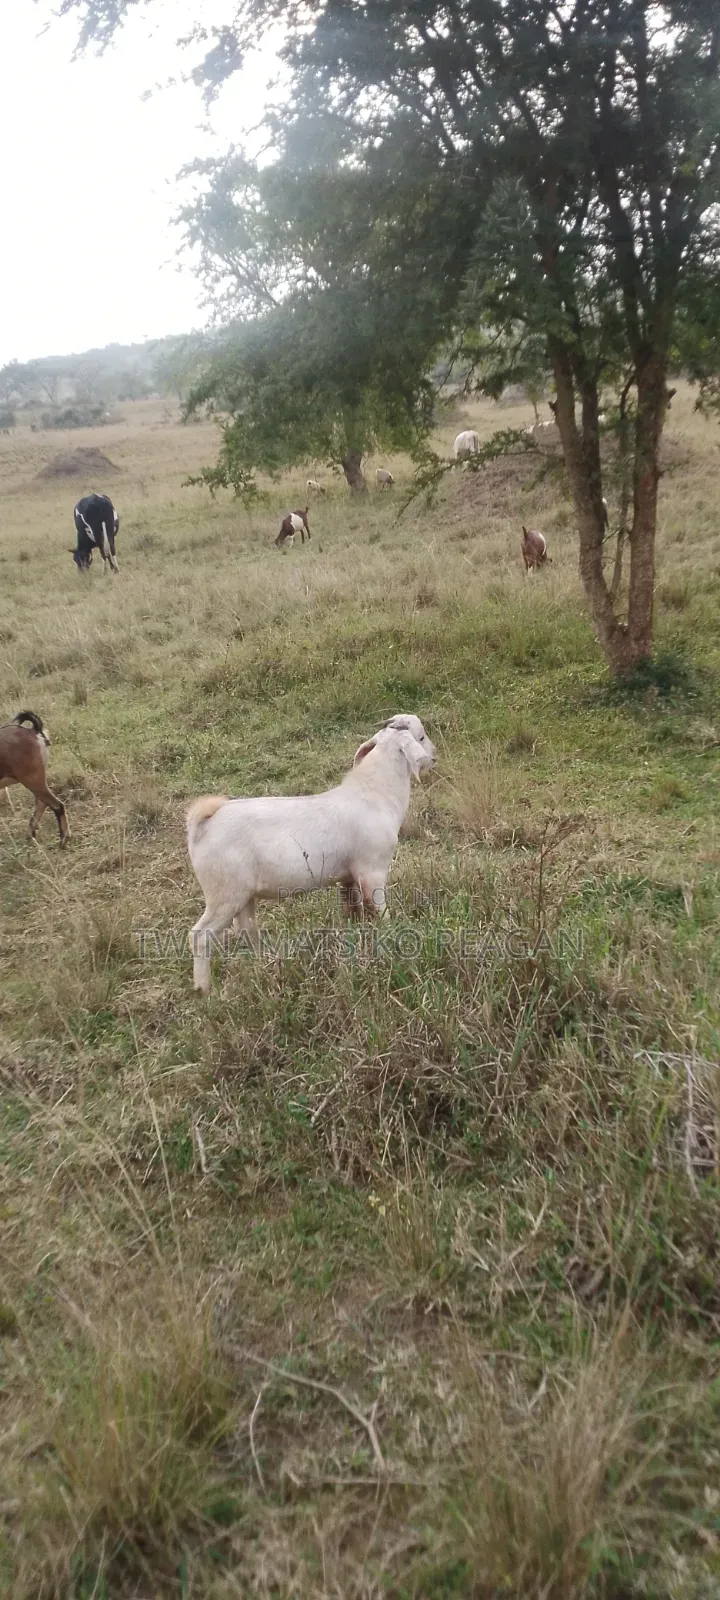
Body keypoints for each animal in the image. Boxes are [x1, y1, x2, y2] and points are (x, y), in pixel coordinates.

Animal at [0, 711, 69, 845]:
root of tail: (33, 731)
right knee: (42, 803)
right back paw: (30, 835)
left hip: (32, 778)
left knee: (56, 805)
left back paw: (63, 840)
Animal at [186, 712, 436, 993]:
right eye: (421, 736)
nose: (434, 756)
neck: (375, 795)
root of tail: (203, 824)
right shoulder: (373, 870)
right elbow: (381, 911)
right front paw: (392, 935)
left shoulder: (349, 876)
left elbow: (352, 908)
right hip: (223, 892)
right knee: (200, 936)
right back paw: (205, 989)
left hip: (242, 894)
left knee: (246, 928)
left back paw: (263, 962)